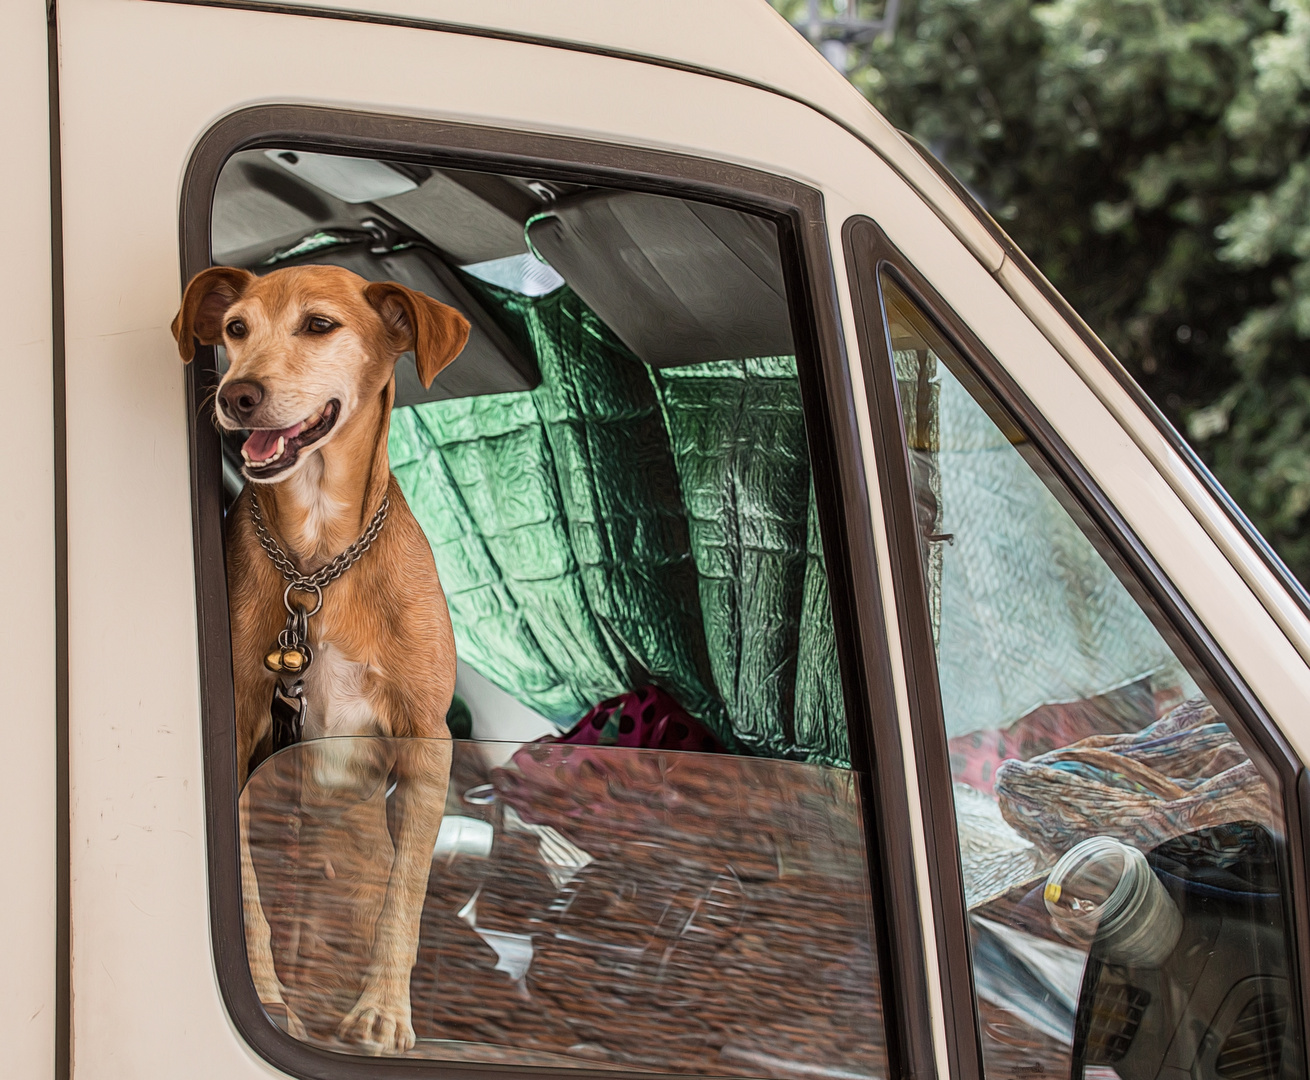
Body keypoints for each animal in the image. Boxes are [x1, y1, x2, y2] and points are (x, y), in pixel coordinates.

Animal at [167, 263, 466, 1053]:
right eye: (235, 328)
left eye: (320, 326)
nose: (237, 394)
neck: (317, 563)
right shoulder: (242, 734)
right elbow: (245, 889)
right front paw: (268, 998)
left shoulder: (427, 738)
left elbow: (406, 893)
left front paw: (384, 1010)